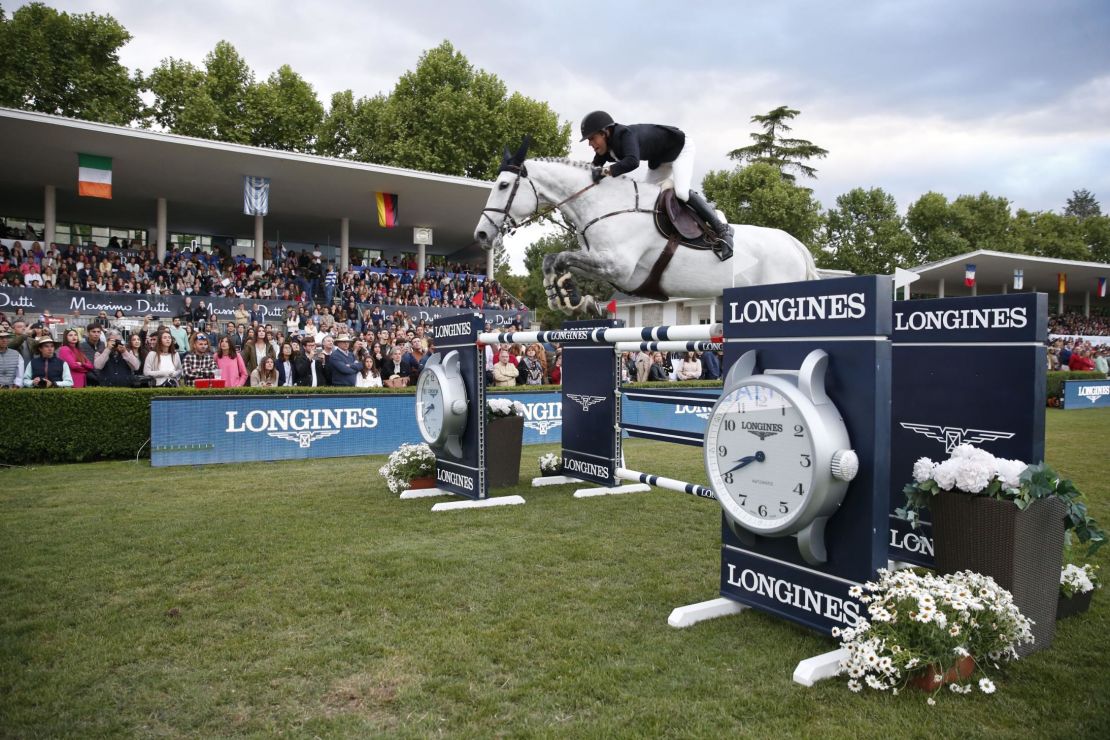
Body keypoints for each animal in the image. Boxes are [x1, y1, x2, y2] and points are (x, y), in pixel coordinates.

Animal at [472, 146, 821, 317]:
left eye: (503, 185)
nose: (481, 235)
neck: (603, 204)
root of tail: (795, 244)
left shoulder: (618, 267)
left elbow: (561, 259)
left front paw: (571, 298)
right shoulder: (602, 262)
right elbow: (552, 259)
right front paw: (567, 298)